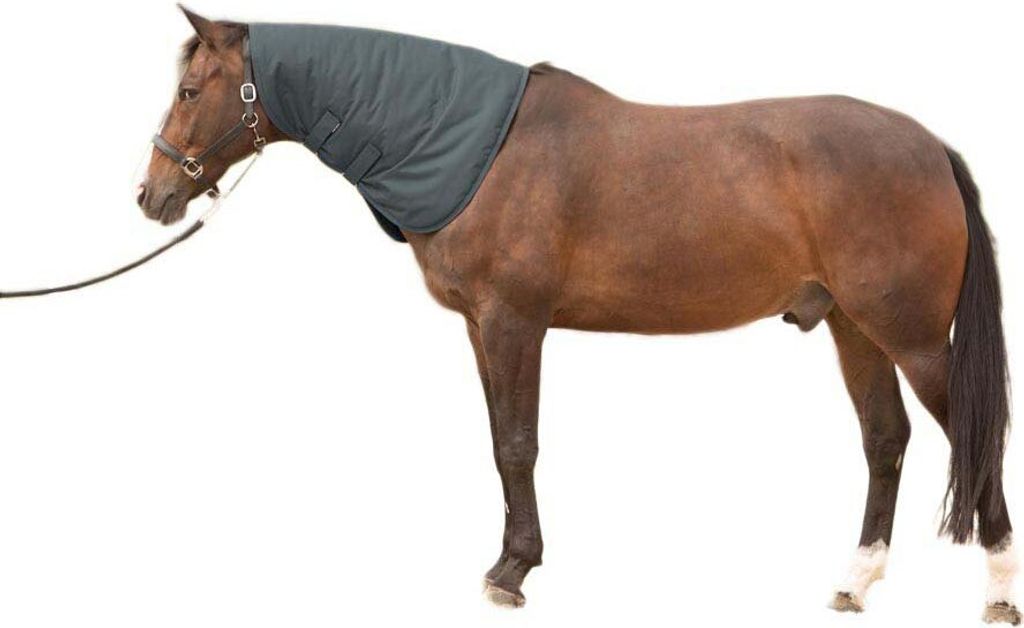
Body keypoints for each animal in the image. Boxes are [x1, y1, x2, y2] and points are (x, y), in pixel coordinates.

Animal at [136, 8, 1018, 623]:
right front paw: (508, 562)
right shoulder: (481, 328)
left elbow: (519, 446)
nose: (152, 195)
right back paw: (854, 583)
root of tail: (932, 147)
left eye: (189, 91)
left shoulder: (514, 322)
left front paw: (512, 573)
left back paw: (999, 591)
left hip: (913, 339)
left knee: (977, 438)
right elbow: (499, 444)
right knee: (885, 441)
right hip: (854, 328)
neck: (479, 152)